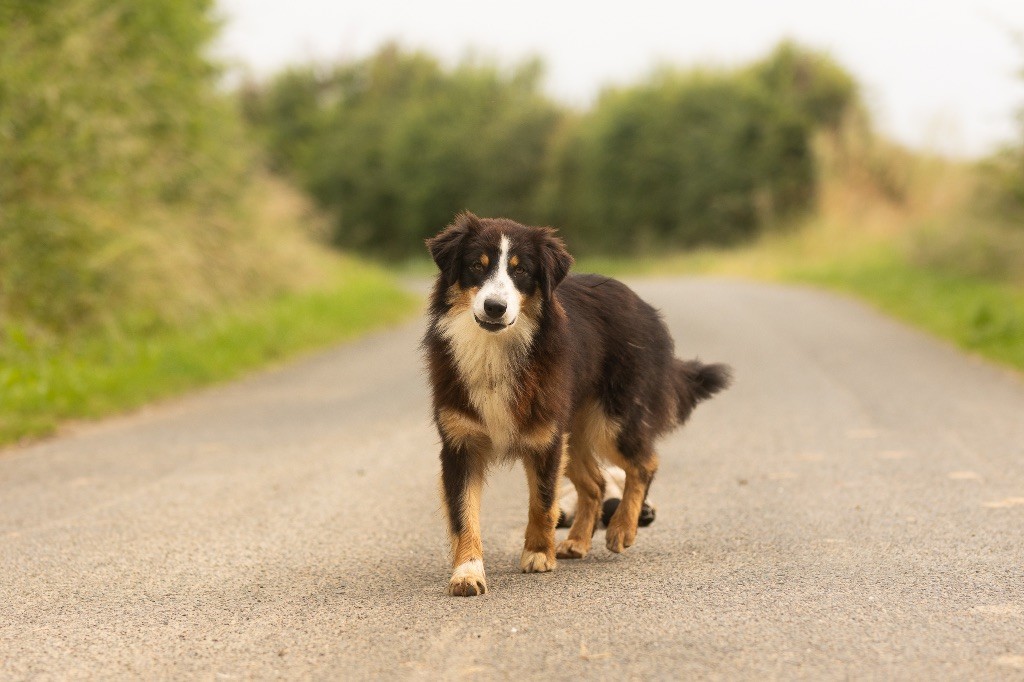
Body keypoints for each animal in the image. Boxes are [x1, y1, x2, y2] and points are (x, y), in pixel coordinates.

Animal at [421, 212, 729, 593]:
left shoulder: (545, 438)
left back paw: (622, 529)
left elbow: (542, 502)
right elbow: (463, 514)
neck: (495, 349)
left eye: (522, 271)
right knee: (596, 483)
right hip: (574, 428)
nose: (495, 308)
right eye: (476, 266)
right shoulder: (461, 442)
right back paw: (578, 541)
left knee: (644, 463)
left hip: (611, 419)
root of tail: (645, 307)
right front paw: (467, 573)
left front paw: (539, 554)